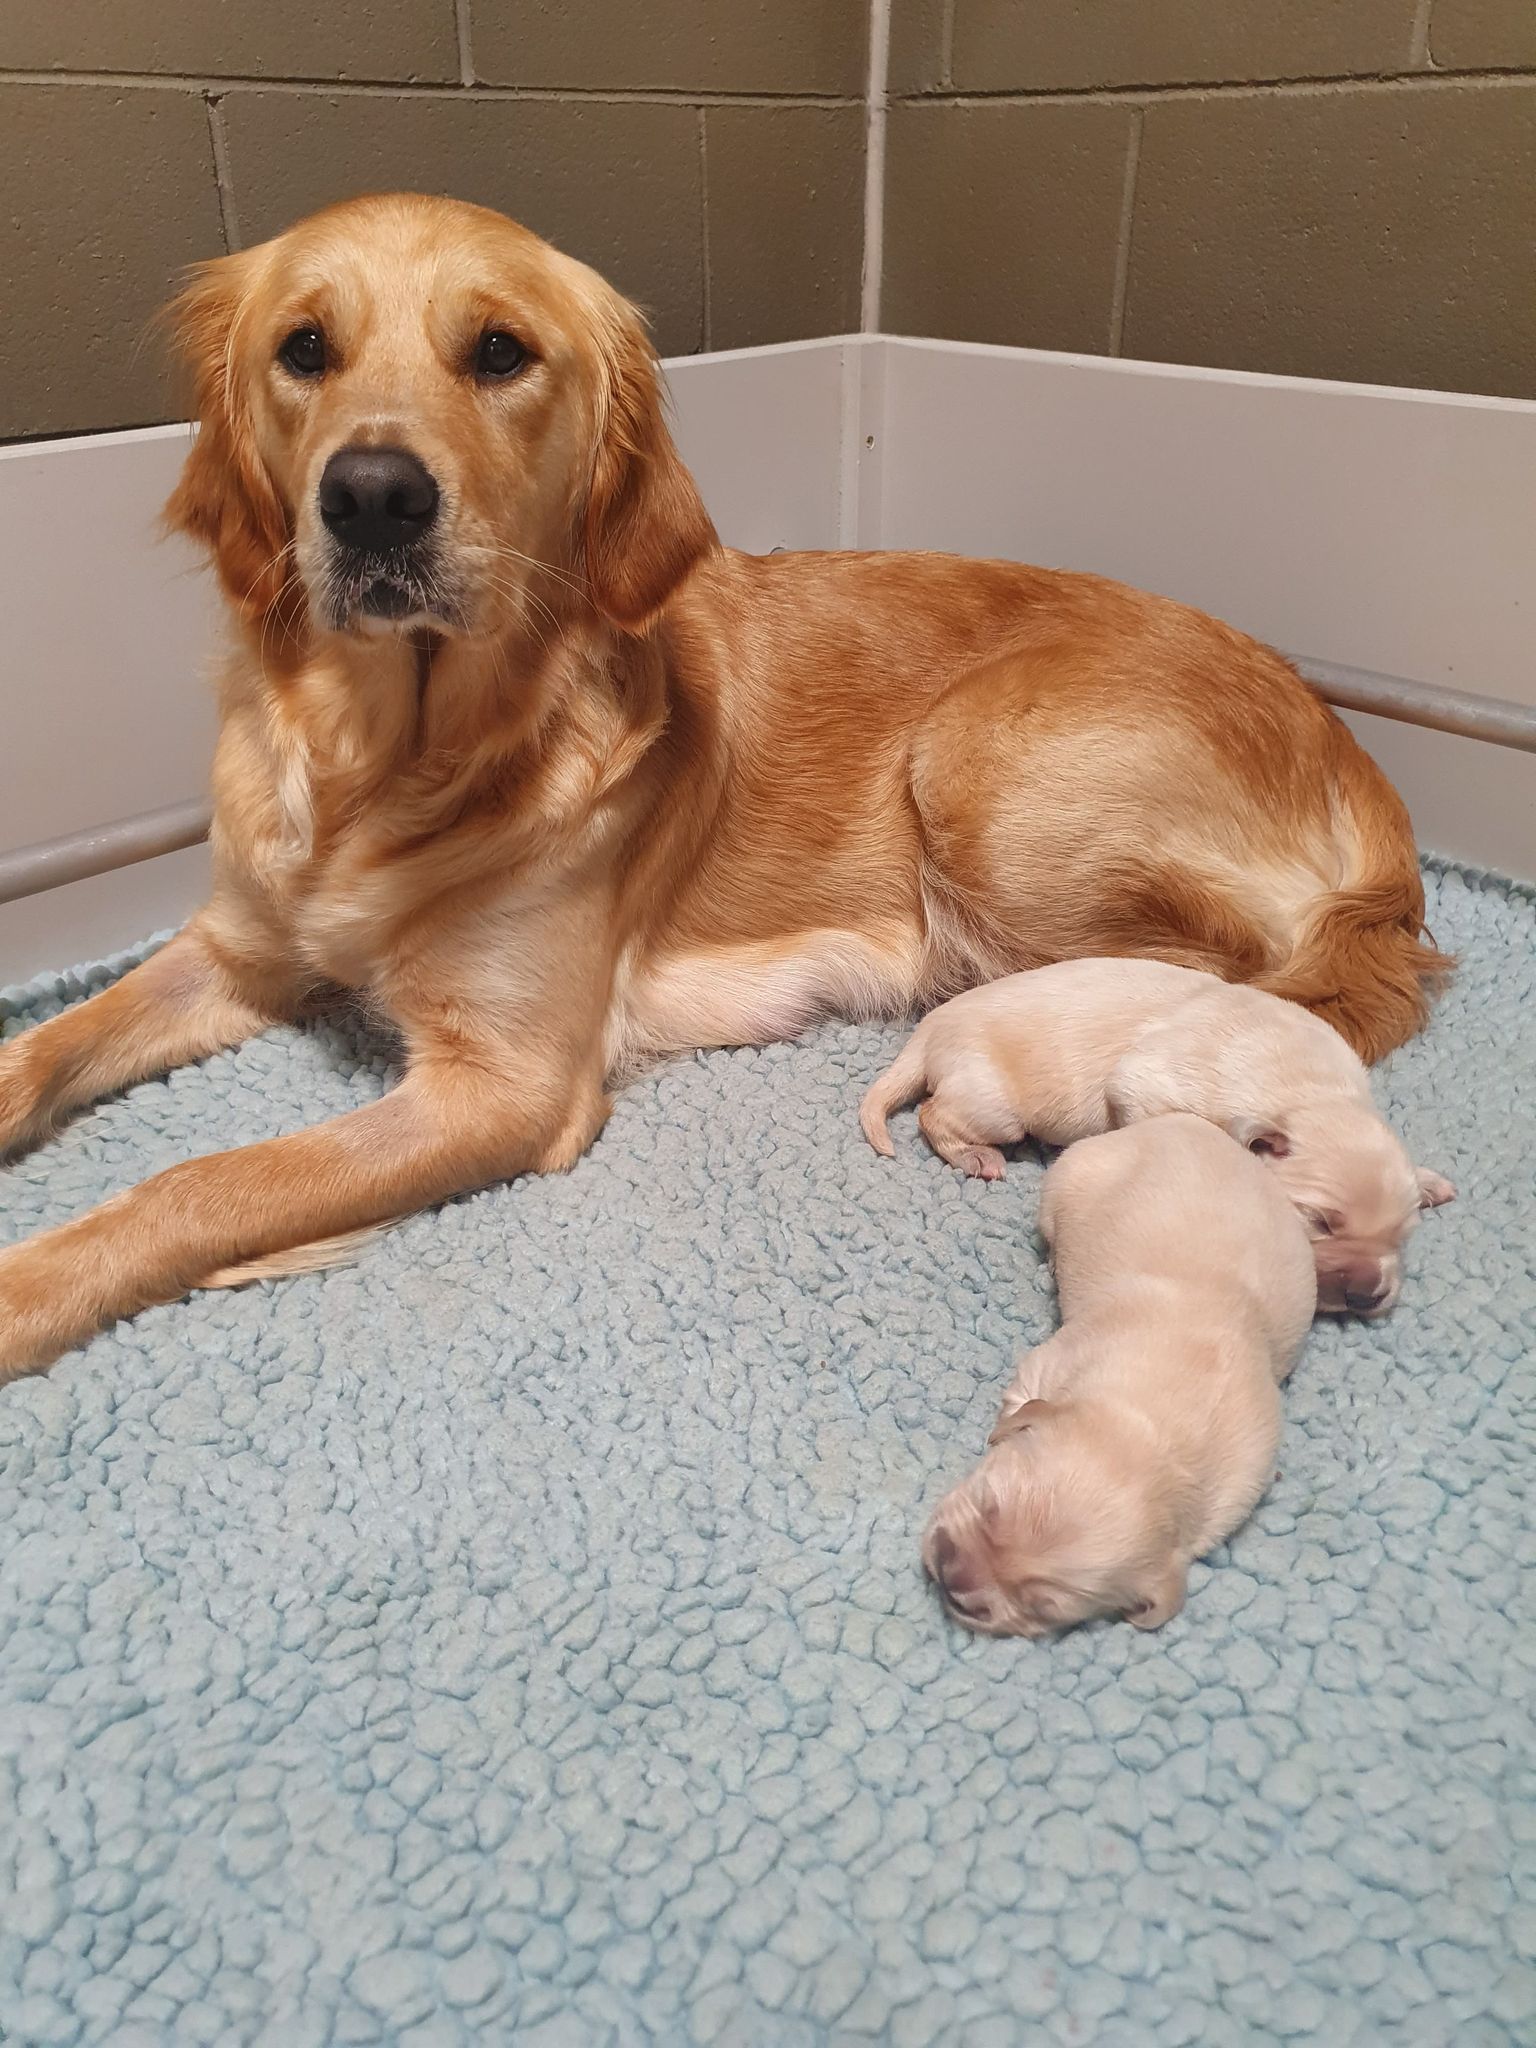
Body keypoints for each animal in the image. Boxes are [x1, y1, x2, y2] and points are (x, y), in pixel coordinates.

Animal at [868, 954, 1458, 1310]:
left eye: (1402, 1237)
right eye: (1321, 1223)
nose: (1368, 1294)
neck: (1310, 1092)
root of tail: (928, 1030)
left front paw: (1429, 1182)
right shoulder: (1148, 1084)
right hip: (991, 1101)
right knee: (933, 1116)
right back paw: (977, 1157)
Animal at [925, 1114, 1327, 1638]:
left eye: (1044, 1605)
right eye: (991, 1505)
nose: (951, 1576)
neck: (1158, 1431)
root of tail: (1185, 1123)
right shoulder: (1055, 1359)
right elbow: (1023, 1399)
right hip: (1069, 1177)